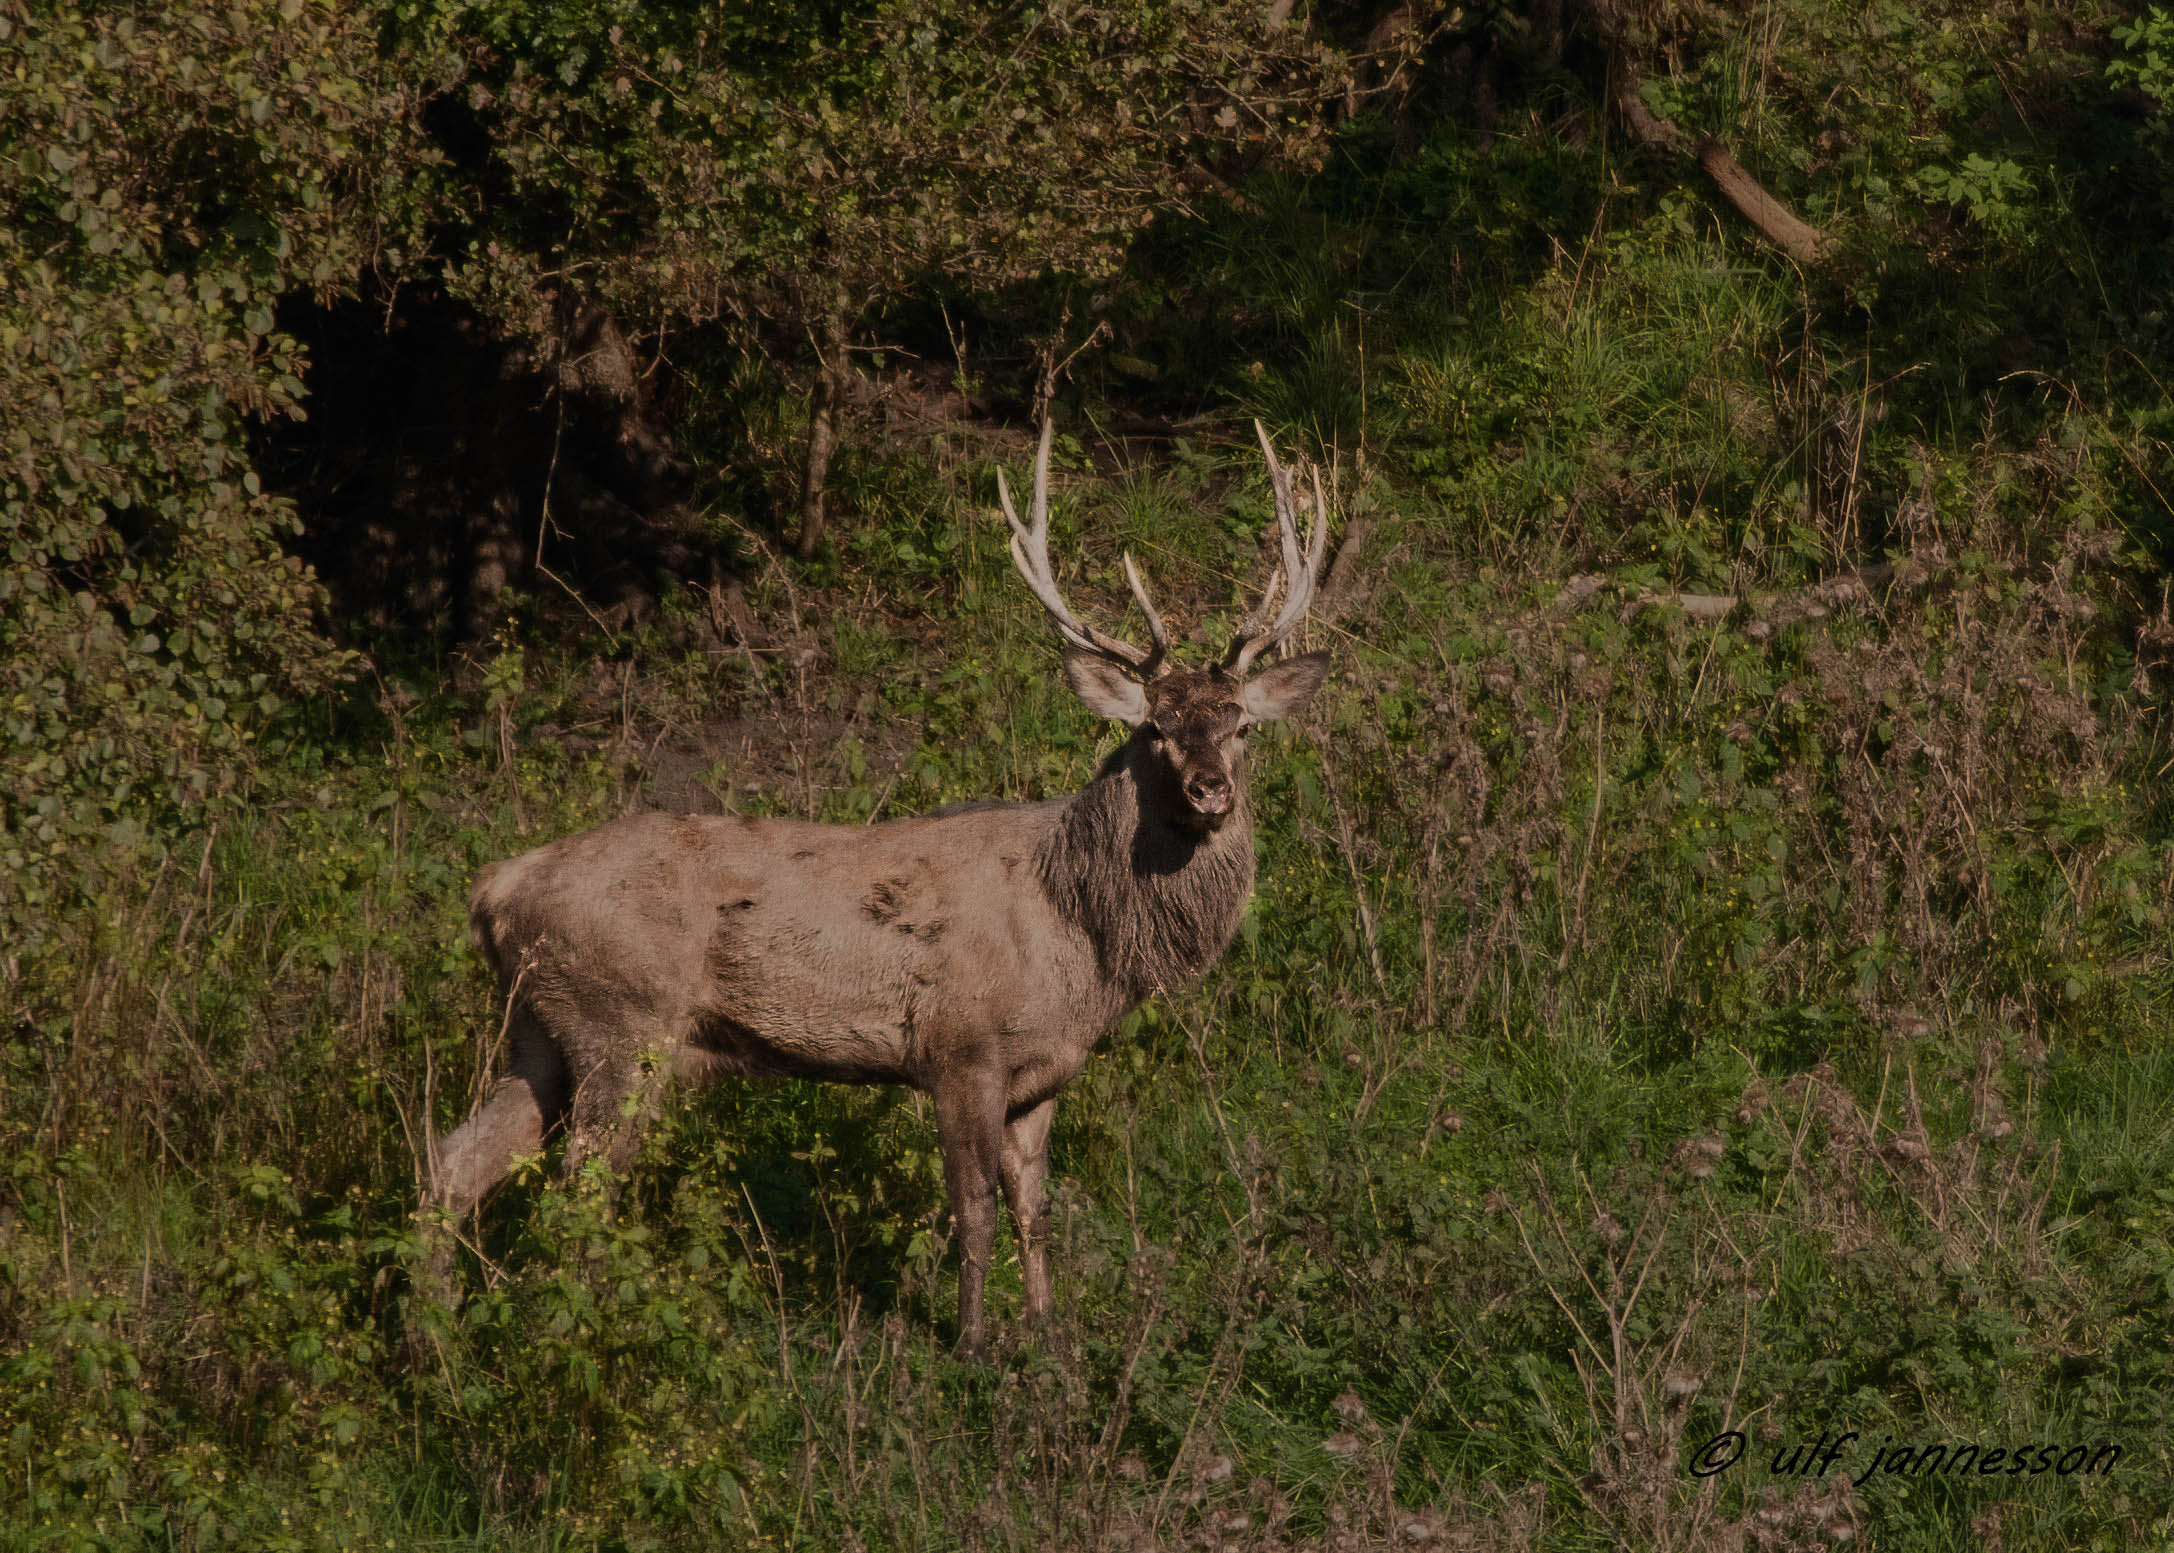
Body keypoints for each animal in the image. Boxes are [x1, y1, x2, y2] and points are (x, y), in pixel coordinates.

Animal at [425, 421, 1334, 1357]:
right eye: (1154, 726)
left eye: (1241, 724)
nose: (1209, 788)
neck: (1079, 931)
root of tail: (493, 888)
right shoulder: (958, 1047)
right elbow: (973, 1210)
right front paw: (971, 1346)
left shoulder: (1044, 1074)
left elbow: (1035, 1209)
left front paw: (1049, 1337)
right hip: (621, 1025)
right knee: (575, 1187)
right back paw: (579, 1336)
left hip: (541, 1027)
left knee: (452, 1162)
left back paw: (437, 1338)